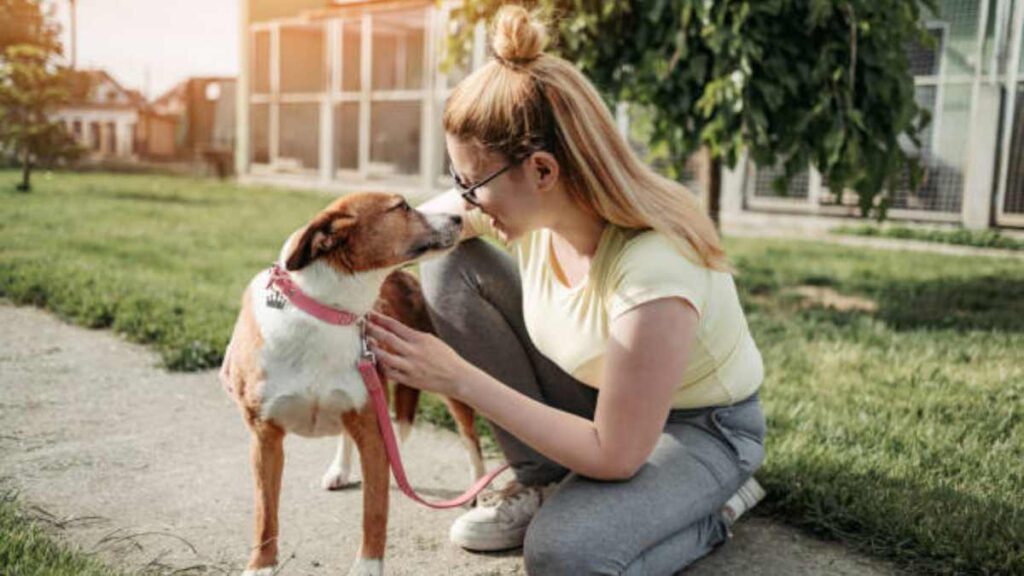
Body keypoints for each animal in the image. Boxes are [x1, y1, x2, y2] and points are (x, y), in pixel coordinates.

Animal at [219, 192, 487, 573]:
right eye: (402, 207)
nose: (459, 218)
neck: (329, 312)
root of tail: (401, 279)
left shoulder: (373, 433)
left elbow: (374, 512)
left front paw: (368, 567)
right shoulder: (265, 437)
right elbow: (265, 513)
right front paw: (262, 565)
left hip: (447, 382)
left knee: (470, 437)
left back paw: (479, 492)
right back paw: (340, 470)